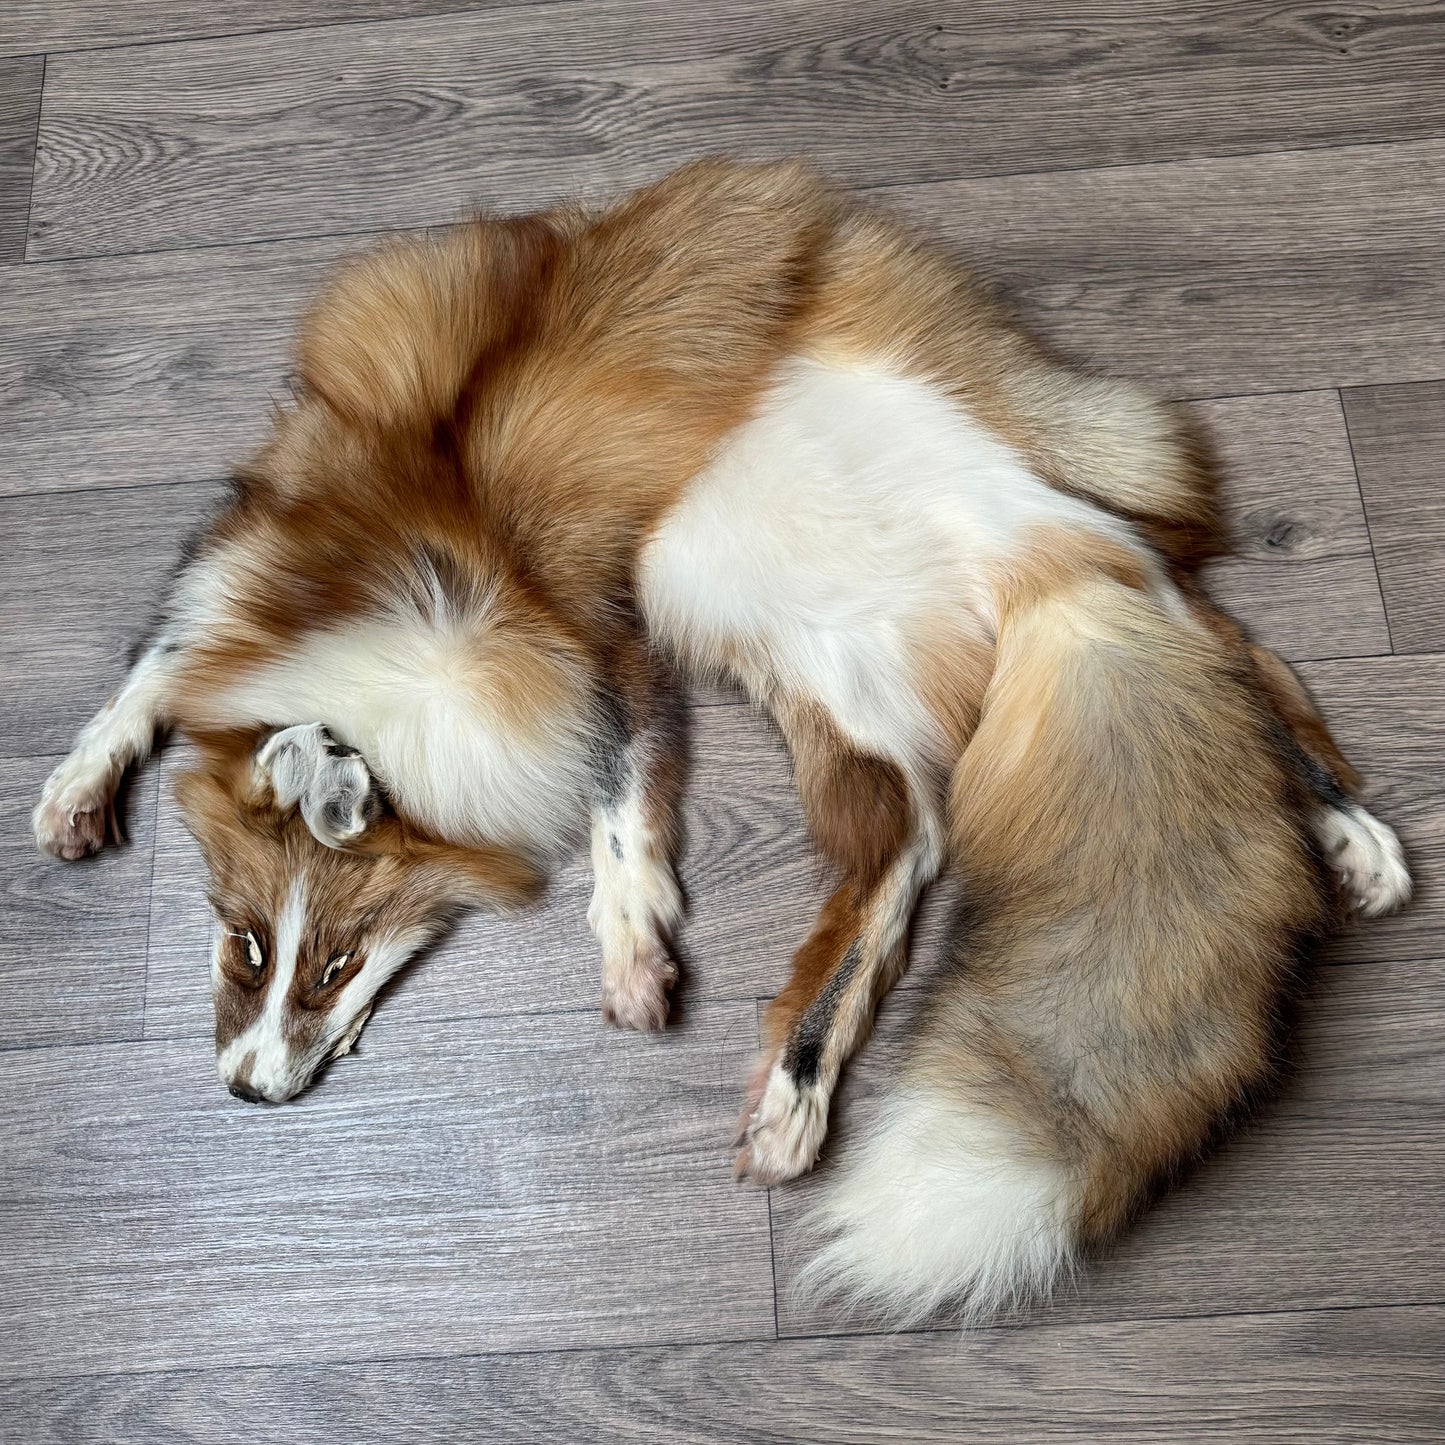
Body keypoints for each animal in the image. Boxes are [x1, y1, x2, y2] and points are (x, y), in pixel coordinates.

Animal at [32, 160, 1410, 1324]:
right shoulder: (307, 578)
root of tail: (1018, 562)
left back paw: (1342, 826)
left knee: (1210, 632)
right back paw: (803, 1089)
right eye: (245, 942)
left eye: (327, 962)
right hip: (825, 666)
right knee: (927, 841)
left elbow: (613, 798)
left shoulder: (582, 628)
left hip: (857, 534)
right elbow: (154, 670)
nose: (245, 1090)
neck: (400, 645)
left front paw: (631, 939)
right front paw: (81, 781)